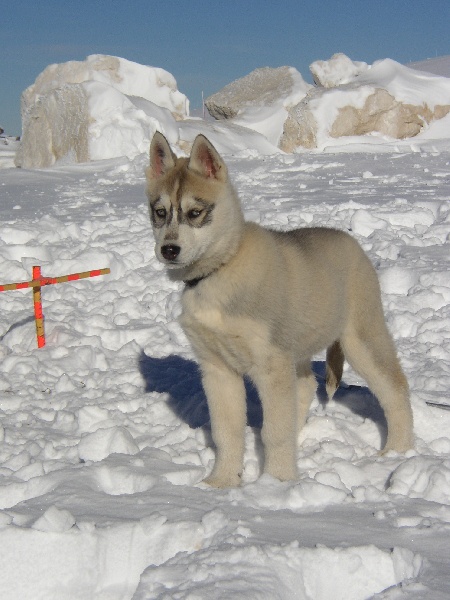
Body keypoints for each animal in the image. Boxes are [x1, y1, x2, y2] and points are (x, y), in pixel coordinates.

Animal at [146, 131, 414, 488]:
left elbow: (275, 432)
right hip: (297, 345)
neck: (219, 271)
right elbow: (226, 431)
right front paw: (222, 481)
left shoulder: (271, 364)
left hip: (360, 338)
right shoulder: (217, 368)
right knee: (306, 386)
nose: (169, 250)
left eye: (195, 212)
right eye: (160, 212)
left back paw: (398, 451)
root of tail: (351, 242)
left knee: (395, 388)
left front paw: (276, 483)